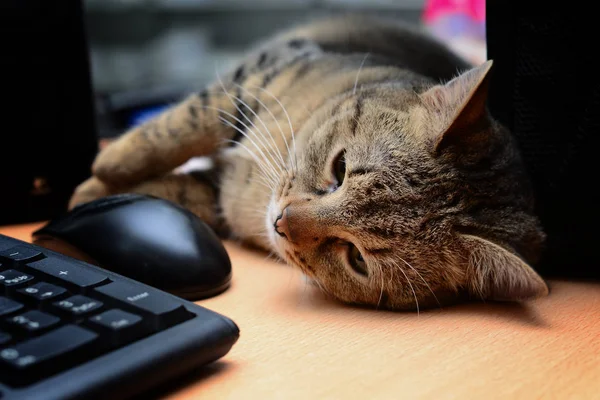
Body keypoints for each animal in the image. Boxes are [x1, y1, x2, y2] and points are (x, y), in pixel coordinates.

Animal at [69, 14, 548, 310]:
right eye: (340, 169)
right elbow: (177, 127)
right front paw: (104, 168)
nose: (281, 222)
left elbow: (175, 185)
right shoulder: (256, 73)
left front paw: (90, 192)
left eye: (357, 259)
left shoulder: (216, 194)